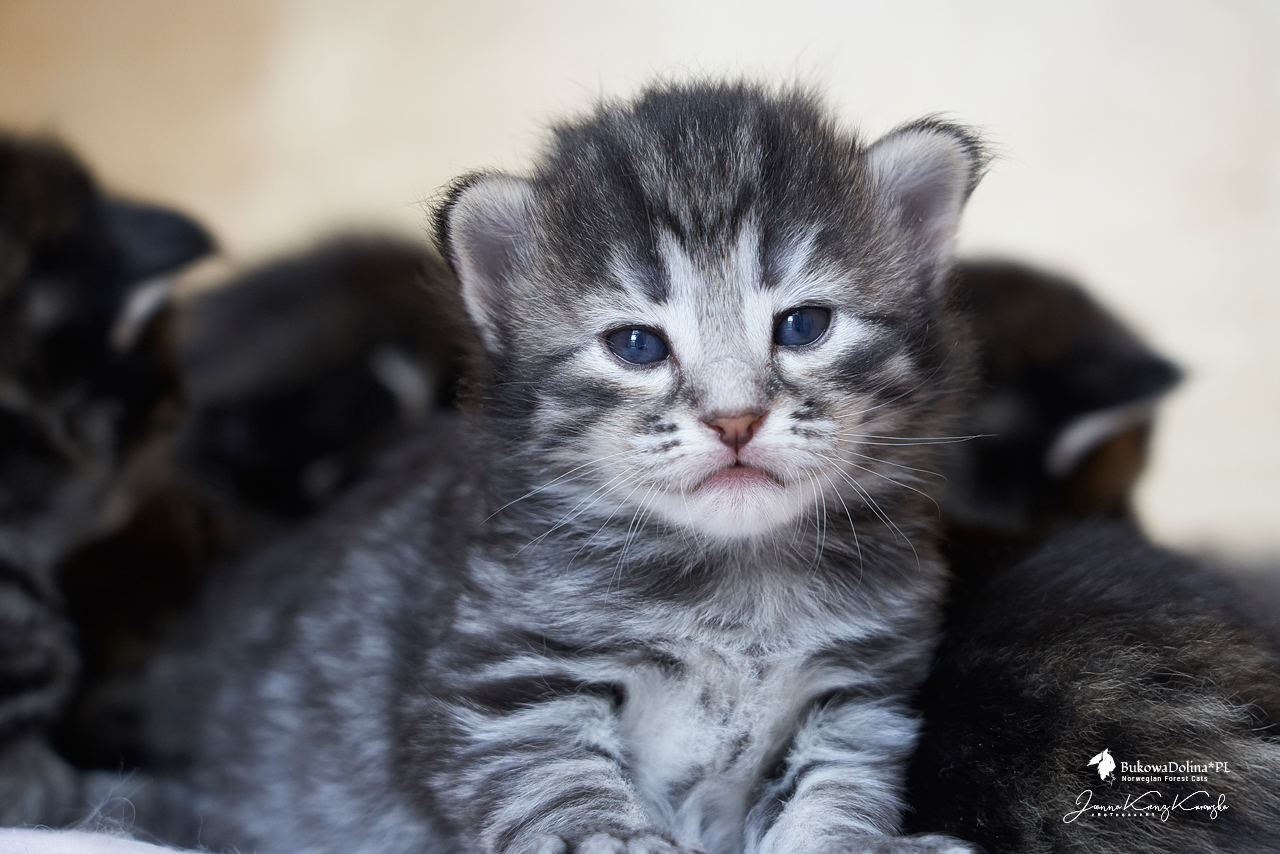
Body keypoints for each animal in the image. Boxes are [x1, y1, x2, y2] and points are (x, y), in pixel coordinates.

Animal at [142, 82, 987, 854]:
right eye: (637, 345)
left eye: (805, 326)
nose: (734, 419)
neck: (736, 581)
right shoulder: (504, 691)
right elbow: (564, 796)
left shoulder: (860, 700)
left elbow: (840, 796)